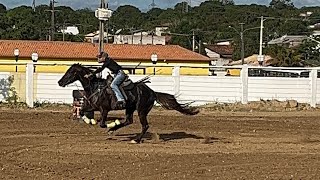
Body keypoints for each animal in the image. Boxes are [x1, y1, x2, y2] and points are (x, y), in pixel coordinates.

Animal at [57, 64, 198, 143]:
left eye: (71, 72)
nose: (60, 82)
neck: (95, 87)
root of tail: (152, 92)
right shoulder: (91, 106)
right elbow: (81, 111)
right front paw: (90, 121)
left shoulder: (104, 109)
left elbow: (102, 123)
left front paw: (110, 124)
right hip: (130, 108)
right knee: (129, 121)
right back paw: (115, 129)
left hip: (141, 110)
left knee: (145, 125)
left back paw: (135, 139)